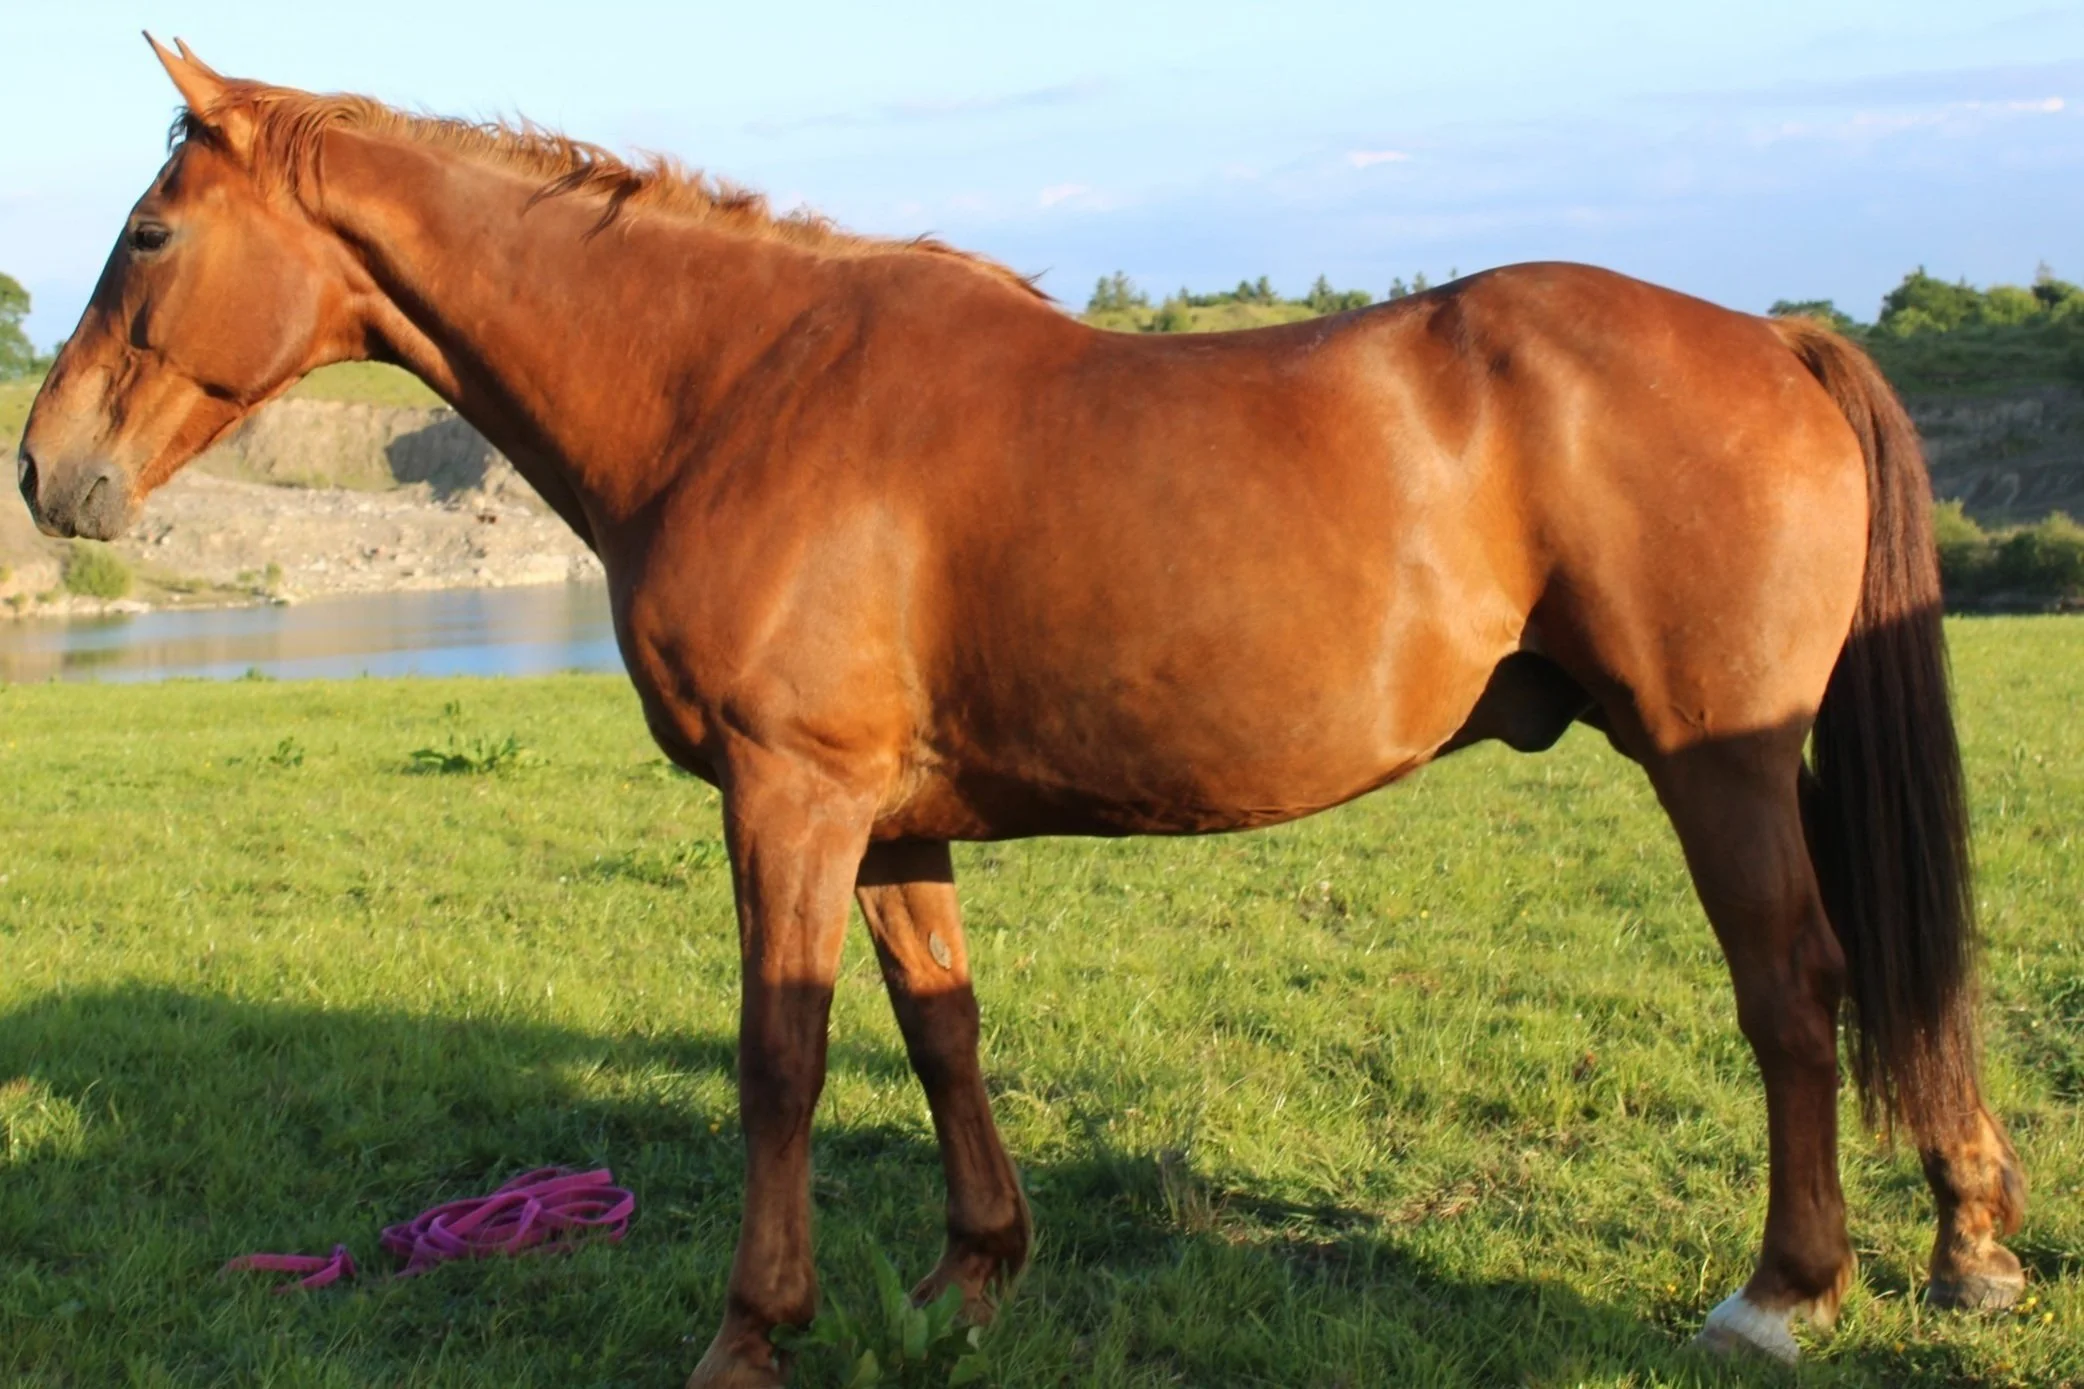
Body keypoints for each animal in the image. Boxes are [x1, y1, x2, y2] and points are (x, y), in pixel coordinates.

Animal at [18, 37, 2027, 1385]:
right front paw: (968, 1278)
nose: (48, 472)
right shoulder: (888, 814)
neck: (736, 386)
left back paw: (1782, 1289)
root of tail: (1774, 338)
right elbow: (939, 1030)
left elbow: (781, 1056)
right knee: (1892, 979)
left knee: (1797, 984)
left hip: (1715, 762)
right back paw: (1969, 1243)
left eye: (146, 233)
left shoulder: (789, 797)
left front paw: (751, 1331)